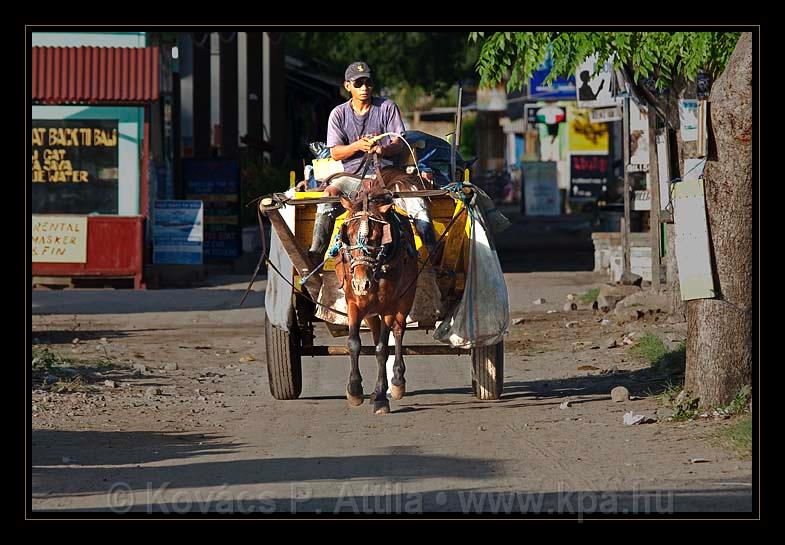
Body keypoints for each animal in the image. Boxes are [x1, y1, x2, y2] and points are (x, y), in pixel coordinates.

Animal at [334, 184, 420, 412]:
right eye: (348, 235)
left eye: (377, 238)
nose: (360, 284)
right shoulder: (354, 303)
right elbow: (353, 343)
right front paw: (355, 390)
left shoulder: (389, 306)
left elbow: (382, 349)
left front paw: (381, 396)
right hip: (370, 311)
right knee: (375, 333)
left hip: (405, 298)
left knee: (397, 332)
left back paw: (397, 381)